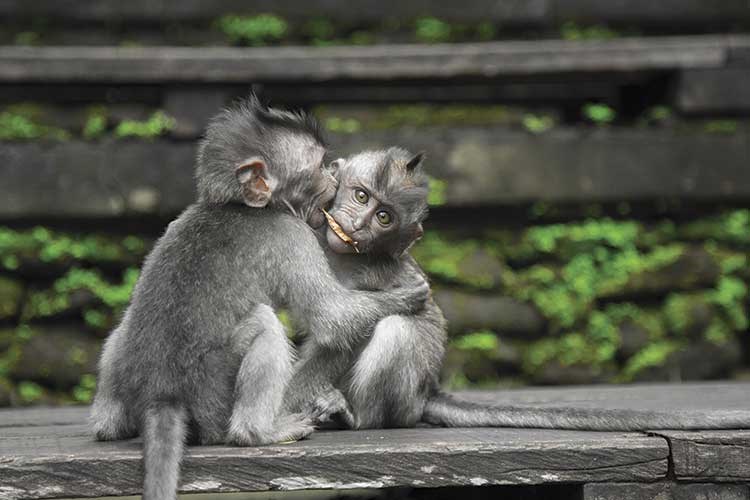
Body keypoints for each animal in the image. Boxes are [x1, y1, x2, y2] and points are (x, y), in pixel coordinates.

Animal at [89, 98, 432, 500]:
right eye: (318, 167)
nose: (334, 177)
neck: (237, 205)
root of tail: (163, 395)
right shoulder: (292, 235)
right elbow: (333, 319)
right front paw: (406, 295)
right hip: (214, 398)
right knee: (264, 327)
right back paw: (259, 432)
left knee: (124, 329)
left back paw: (109, 425)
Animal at [282, 146, 750, 432]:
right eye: (361, 196)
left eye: (384, 217)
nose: (359, 225)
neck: (347, 257)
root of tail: (428, 390)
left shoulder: (382, 272)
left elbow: (349, 329)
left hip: (405, 398)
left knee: (397, 328)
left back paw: (356, 417)